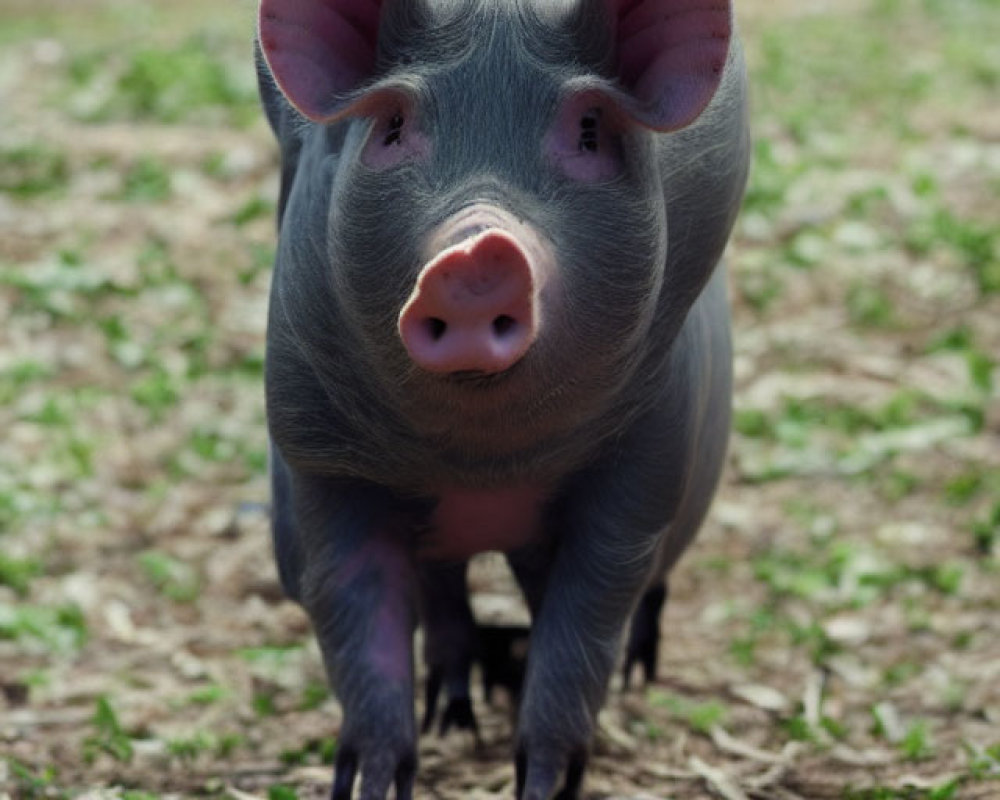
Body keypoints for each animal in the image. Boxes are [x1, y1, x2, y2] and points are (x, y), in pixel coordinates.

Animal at [254, 1, 748, 800]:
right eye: (393, 127)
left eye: (589, 129)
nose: (476, 257)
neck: (479, 470)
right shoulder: (321, 461)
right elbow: (361, 637)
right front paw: (369, 781)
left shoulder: (641, 482)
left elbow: (574, 655)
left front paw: (546, 779)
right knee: (443, 597)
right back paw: (455, 719)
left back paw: (635, 681)